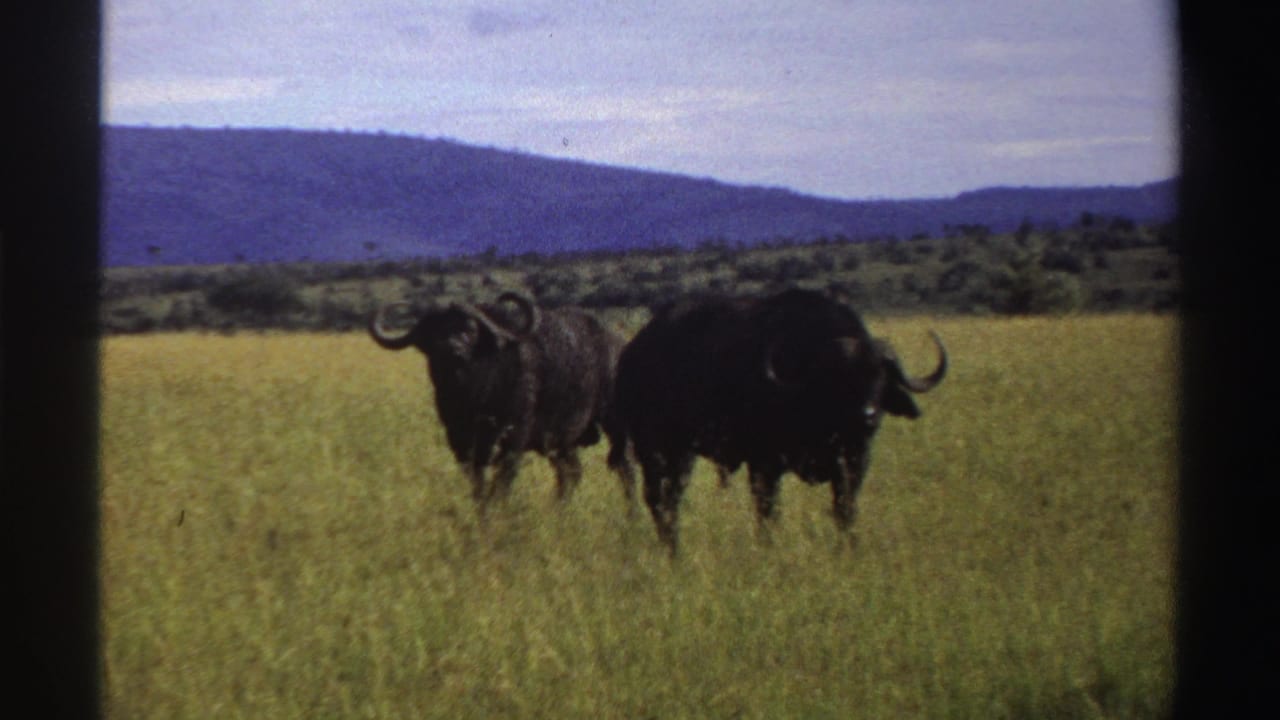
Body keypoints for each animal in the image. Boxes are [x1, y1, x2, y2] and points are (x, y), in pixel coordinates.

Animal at [370, 291, 635, 509]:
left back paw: (632, 514)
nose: (451, 349)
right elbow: (478, 487)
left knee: (624, 467)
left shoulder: (513, 440)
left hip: (613, 425)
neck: (474, 394)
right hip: (561, 441)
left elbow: (502, 485)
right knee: (571, 473)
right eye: (432, 332)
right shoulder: (461, 443)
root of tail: (618, 344)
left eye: (470, 329)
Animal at [611, 288, 946, 554]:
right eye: (841, 377)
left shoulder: (854, 462)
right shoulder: (765, 464)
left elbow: (845, 510)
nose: (867, 416)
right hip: (660, 451)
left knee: (669, 501)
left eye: (881, 377)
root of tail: (632, 355)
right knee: (660, 500)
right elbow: (768, 513)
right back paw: (673, 551)